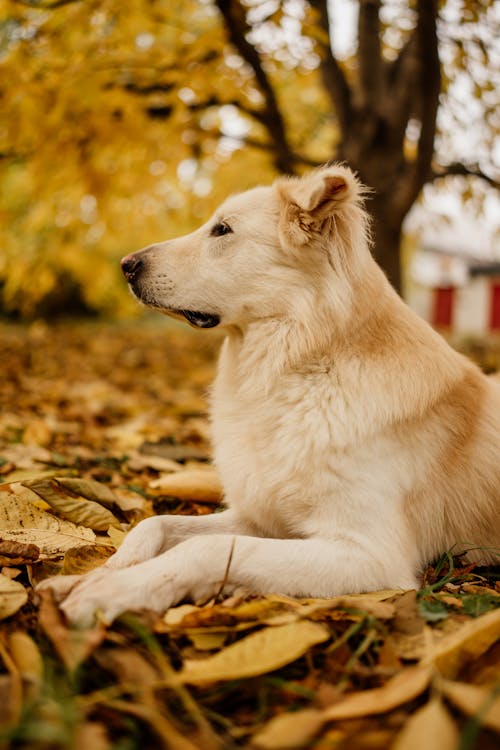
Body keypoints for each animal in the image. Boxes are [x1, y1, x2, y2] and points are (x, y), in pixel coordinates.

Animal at [41, 166, 500, 628]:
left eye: (222, 230)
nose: (125, 265)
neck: (300, 366)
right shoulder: (261, 519)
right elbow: (154, 524)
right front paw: (94, 575)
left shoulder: (369, 553)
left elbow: (208, 548)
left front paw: (114, 591)